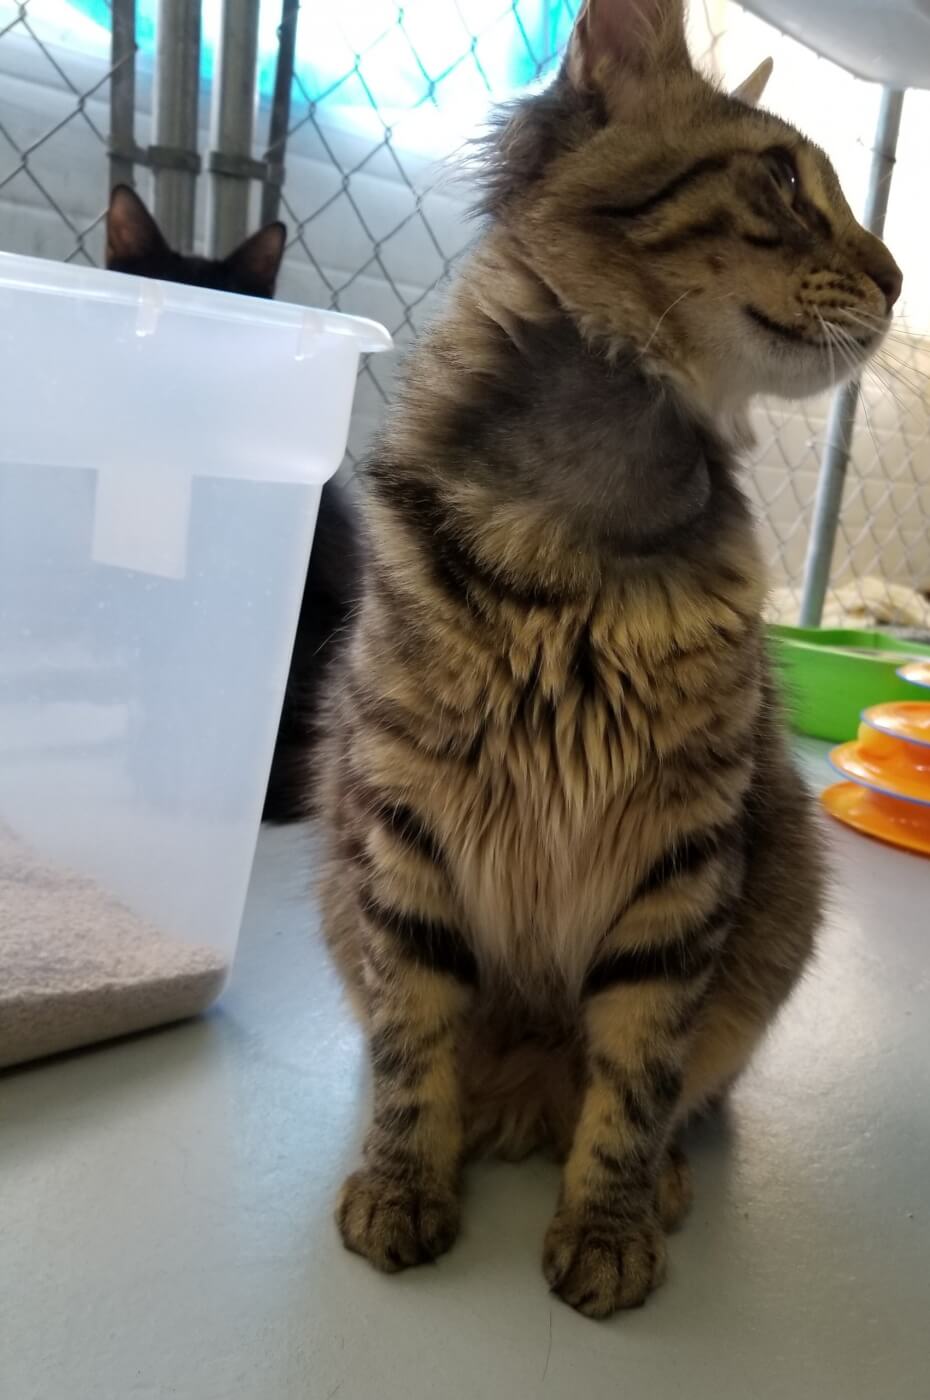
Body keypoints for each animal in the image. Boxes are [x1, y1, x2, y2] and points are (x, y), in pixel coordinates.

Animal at [313, 0, 901, 1316]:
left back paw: (650, 1171)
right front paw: (403, 1177)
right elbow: (414, 1034)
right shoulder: (401, 819)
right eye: (783, 179)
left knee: (676, 1089)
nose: (899, 276)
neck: (574, 552)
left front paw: (609, 1221)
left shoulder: (682, 853)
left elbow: (638, 1069)